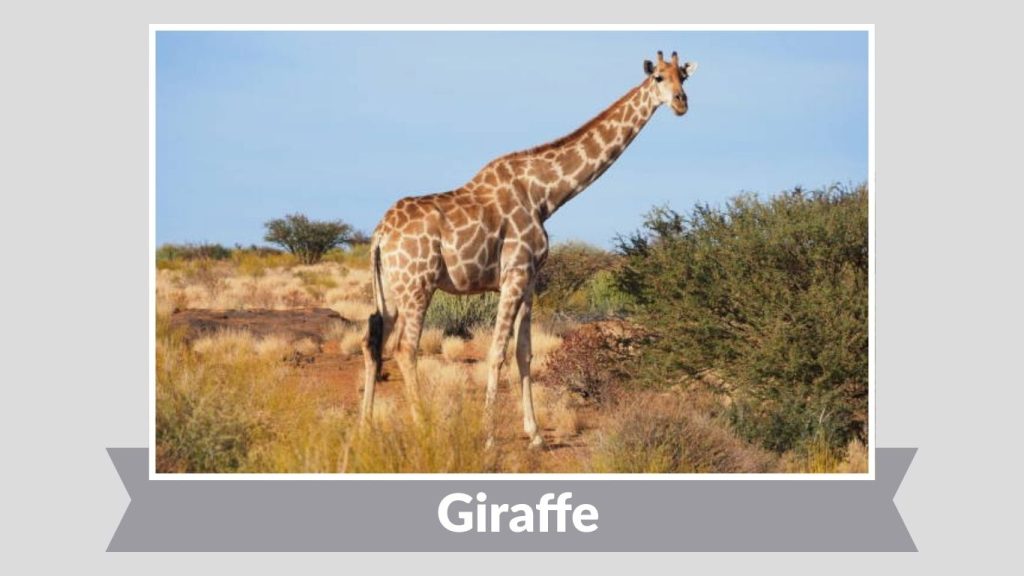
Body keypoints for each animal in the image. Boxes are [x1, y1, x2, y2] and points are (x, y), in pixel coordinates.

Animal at [360, 50, 698, 447]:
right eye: (659, 77)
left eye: (683, 78)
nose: (681, 103)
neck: (544, 196)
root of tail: (380, 234)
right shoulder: (514, 275)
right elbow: (496, 352)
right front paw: (489, 435)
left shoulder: (531, 280)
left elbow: (525, 352)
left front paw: (534, 433)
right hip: (418, 284)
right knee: (404, 348)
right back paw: (422, 426)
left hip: (389, 289)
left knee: (373, 343)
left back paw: (365, 425)